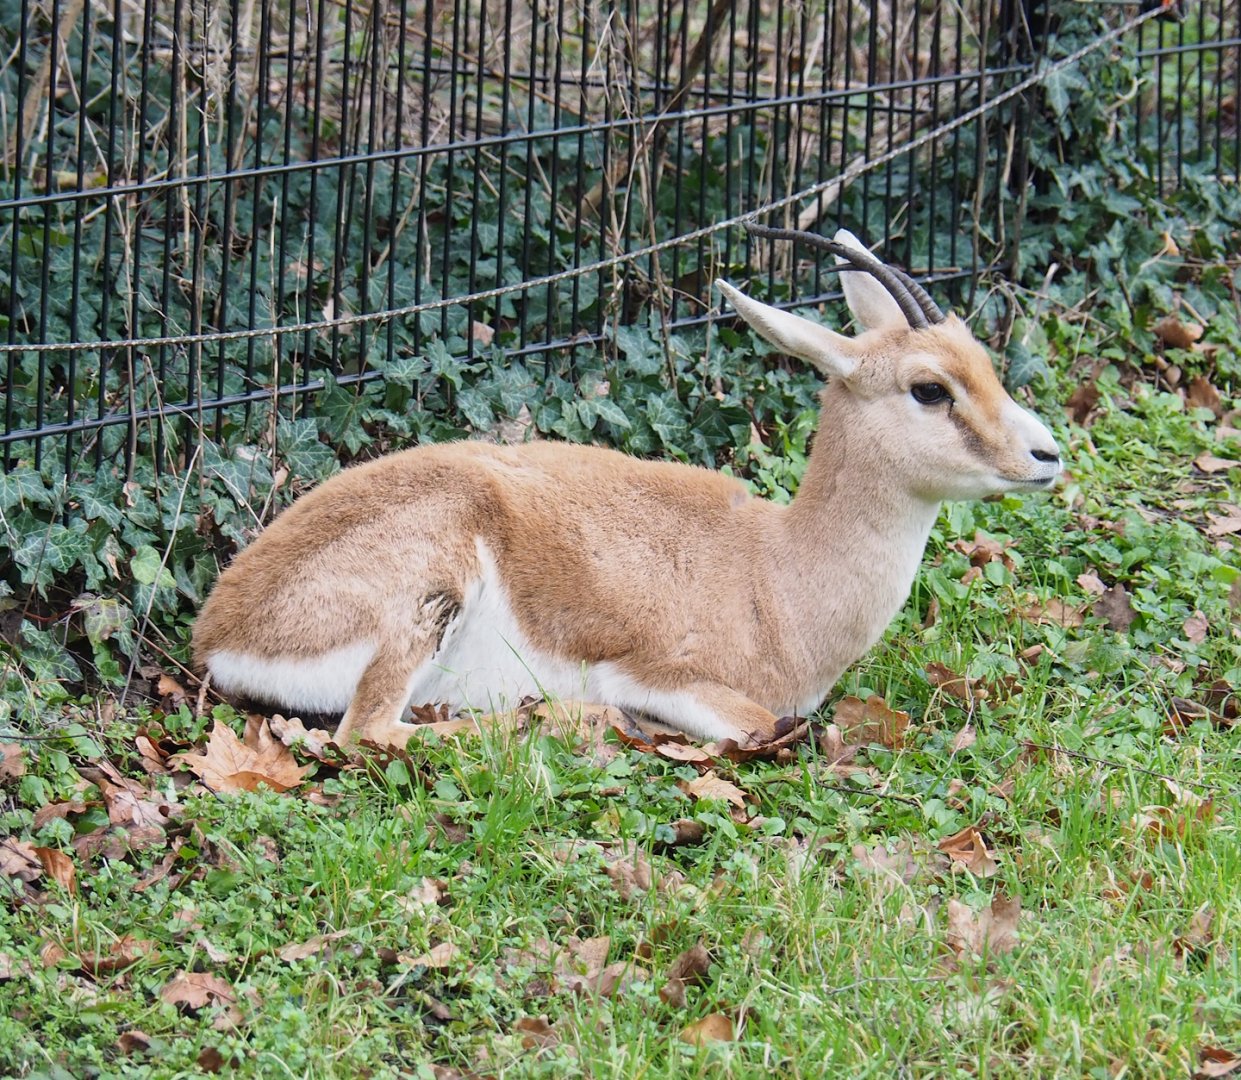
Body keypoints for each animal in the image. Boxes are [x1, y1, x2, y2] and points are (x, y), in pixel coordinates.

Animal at [192, 227, 1060, 750]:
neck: (776, 577)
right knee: (369, 731)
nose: (1046, 454)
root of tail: (219, 626)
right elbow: (762, 725)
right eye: (929, 388)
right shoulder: (669, 676)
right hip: (430, 595)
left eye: (981, 357)